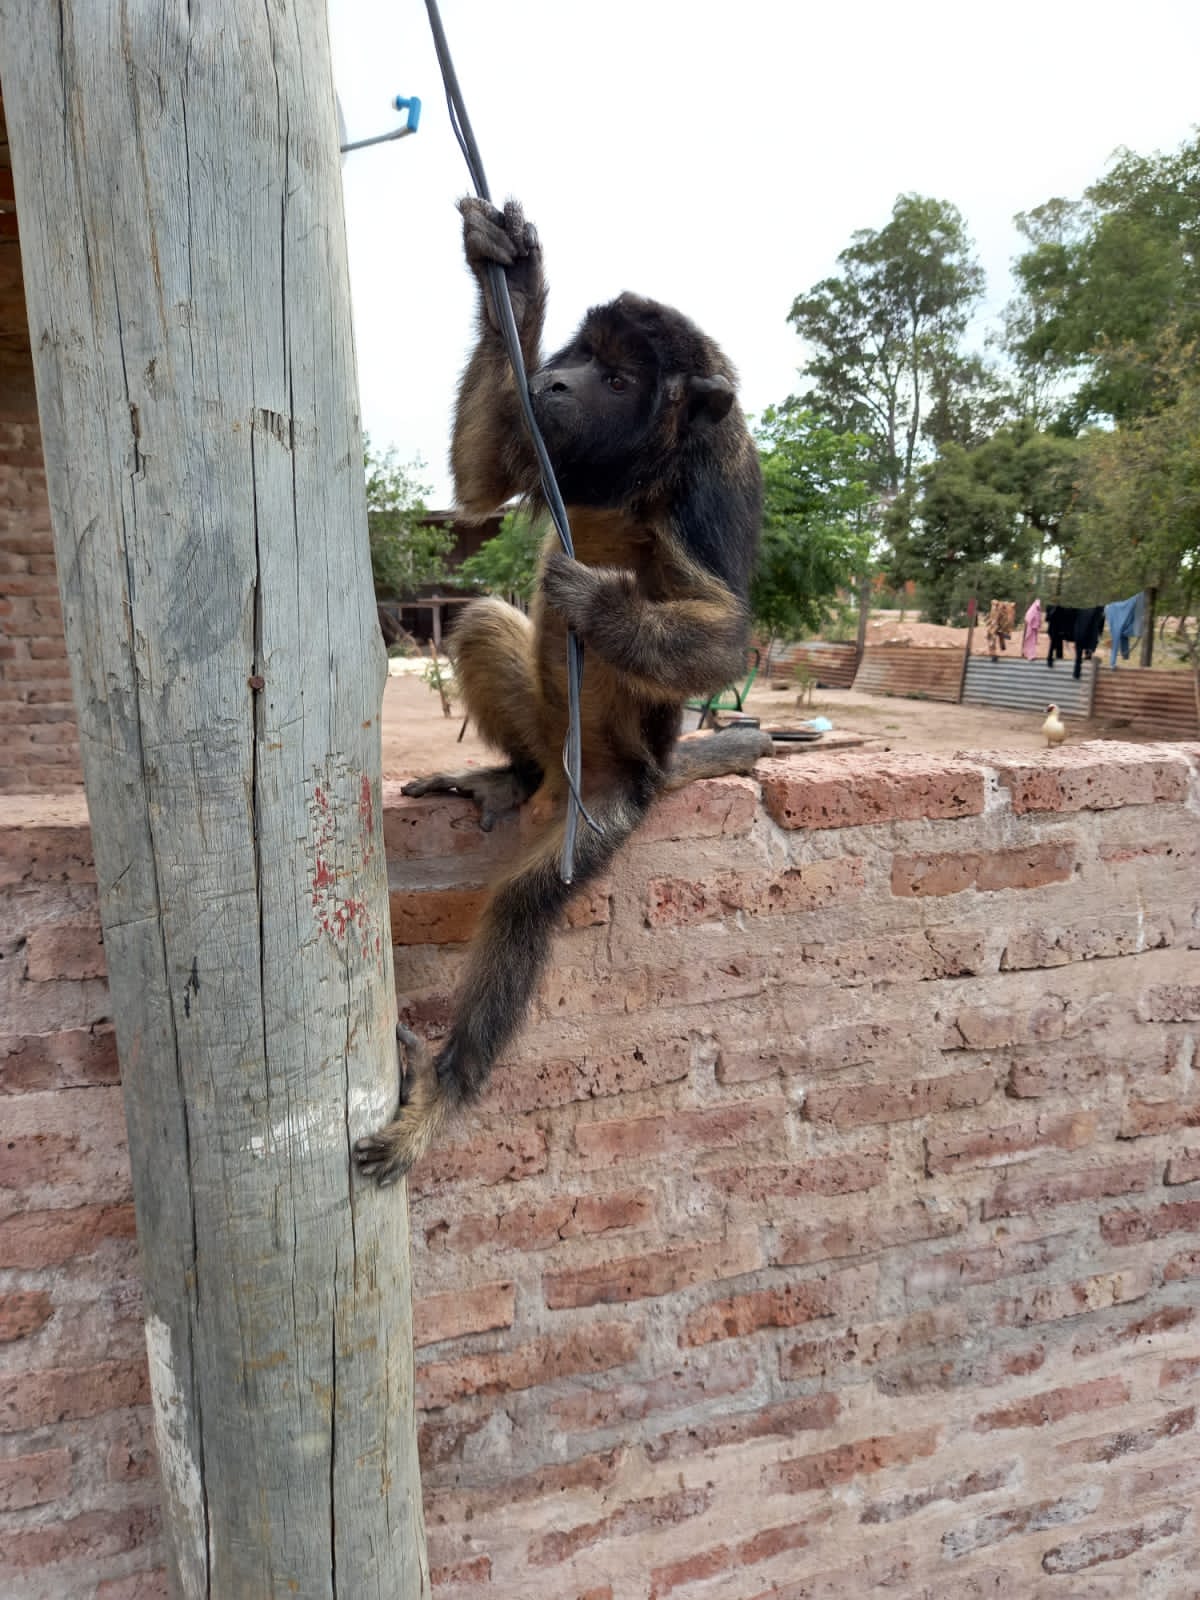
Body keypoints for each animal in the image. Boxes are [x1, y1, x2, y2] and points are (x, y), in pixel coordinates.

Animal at [355, 198, 772, 1185]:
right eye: (580, 357)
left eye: (617, 377)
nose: (554, 381)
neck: (639, 466)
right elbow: (483, 481)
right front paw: (513, 275)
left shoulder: (712, 478)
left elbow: (725, 636)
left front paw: (596, 600)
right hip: (548, 734)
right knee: (477, 623)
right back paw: (507, 774)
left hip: (611, 793)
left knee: (524, 904)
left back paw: (444, 1089)